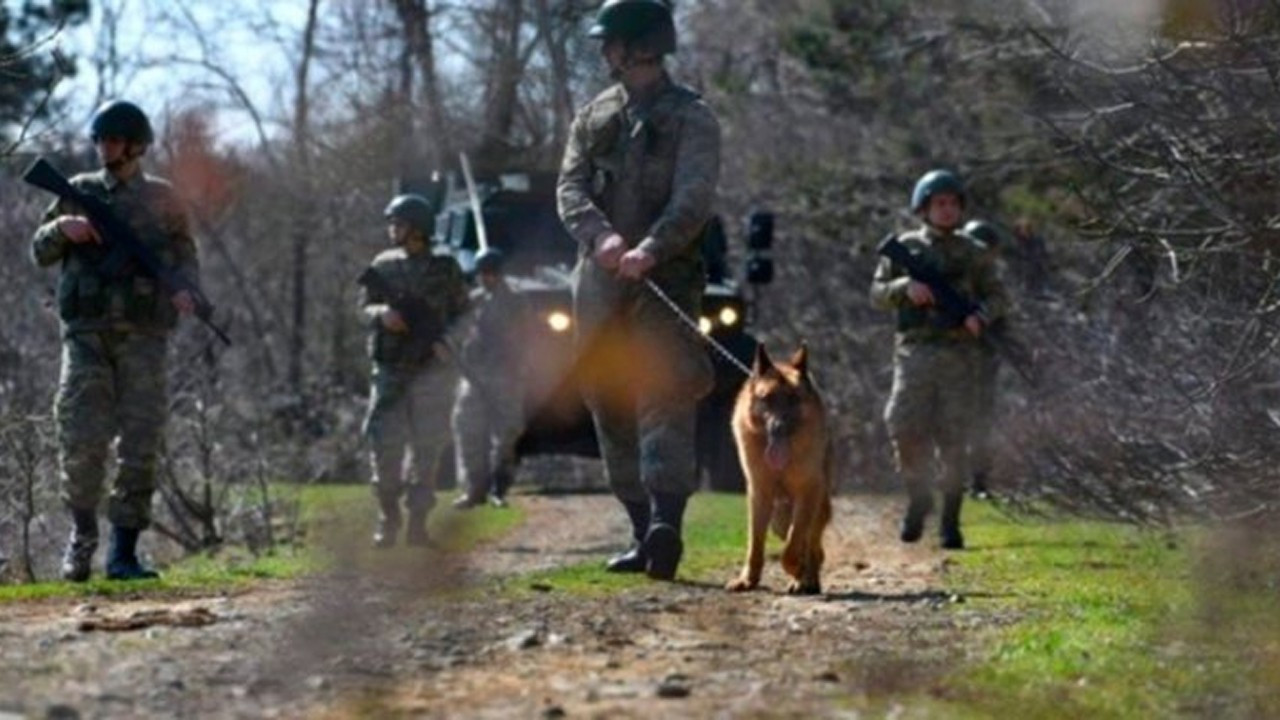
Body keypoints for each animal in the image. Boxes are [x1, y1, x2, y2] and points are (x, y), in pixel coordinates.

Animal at [727, 340, 834, 594]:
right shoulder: (759, 494)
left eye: (794, 399)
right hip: (778, 519)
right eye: (766, 398)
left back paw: (807, 579)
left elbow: (794, 545)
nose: (778, 427)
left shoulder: (807, 493)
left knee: (812, 545)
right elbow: (755, 544)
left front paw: (797, 570)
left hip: (816, 507)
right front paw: (748, 580)